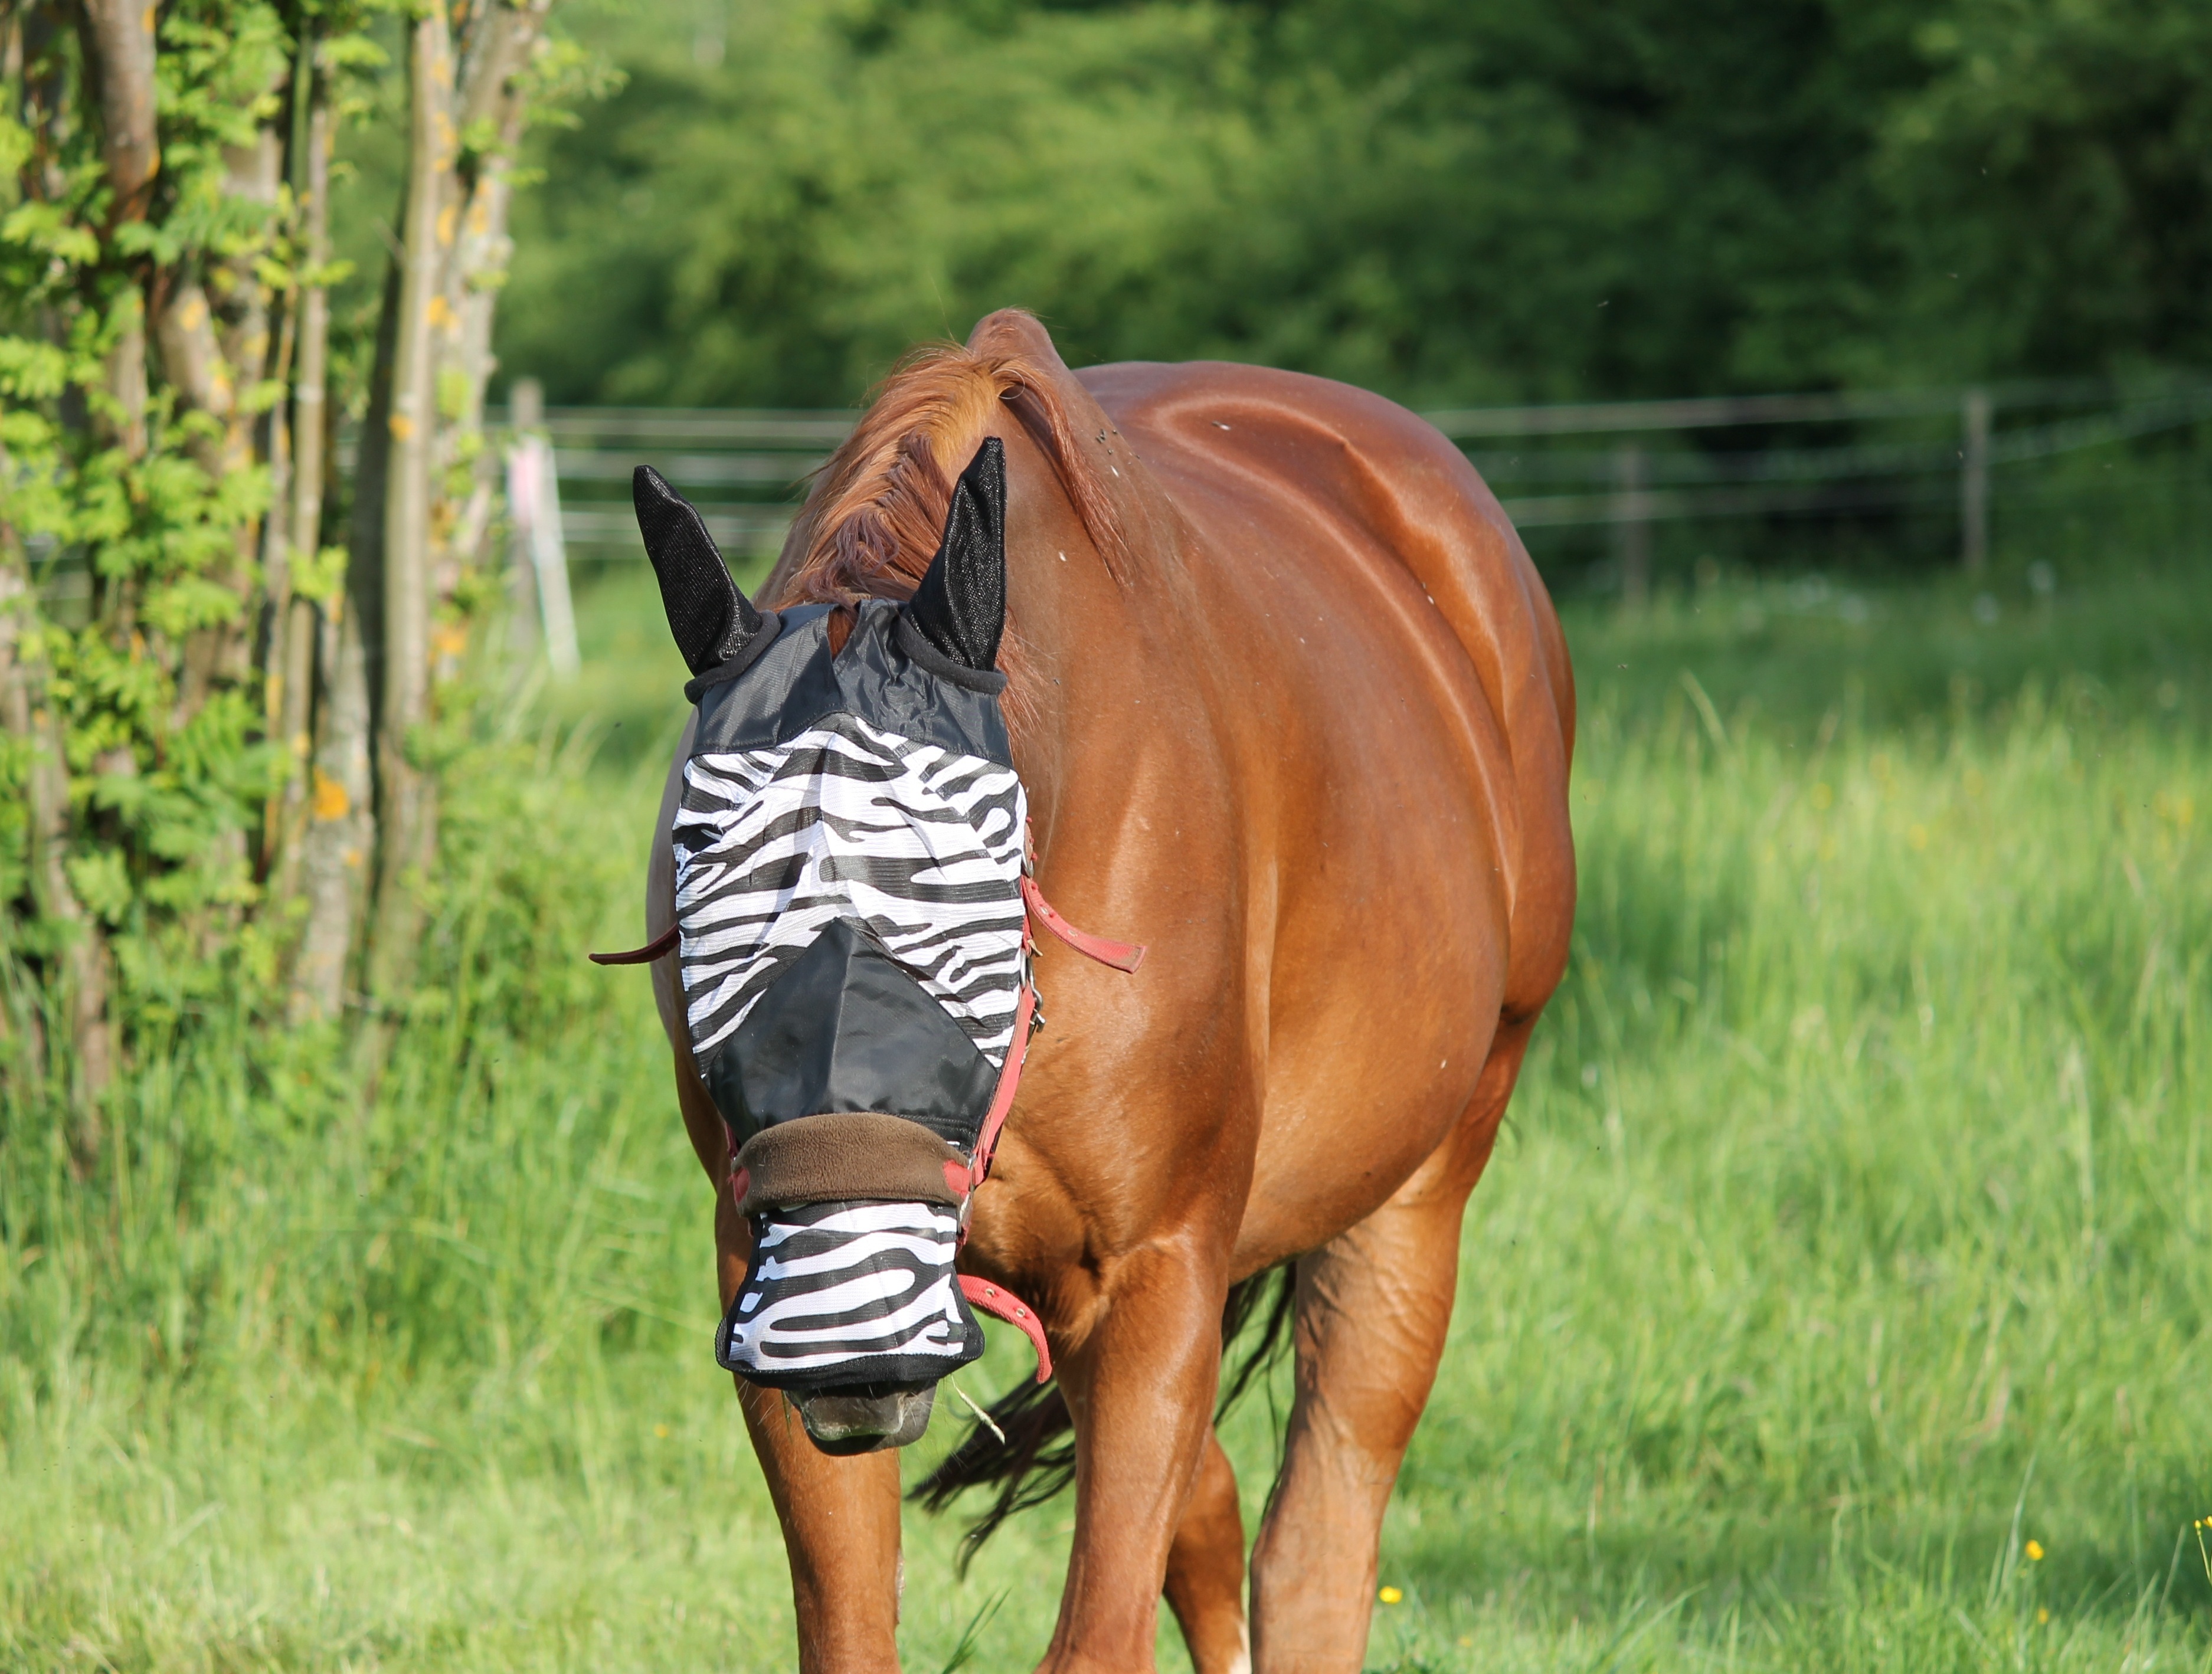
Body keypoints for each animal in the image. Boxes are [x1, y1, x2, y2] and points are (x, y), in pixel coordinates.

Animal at [637, 307, 1575, 1663]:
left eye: (972, 874)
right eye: (695, 869)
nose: (849, 1334)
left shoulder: (1156, 1273)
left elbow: (1102, 1633)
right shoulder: (759, 1278)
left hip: (1418, 1186)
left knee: (1315, 1543)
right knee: (1219, 1513)